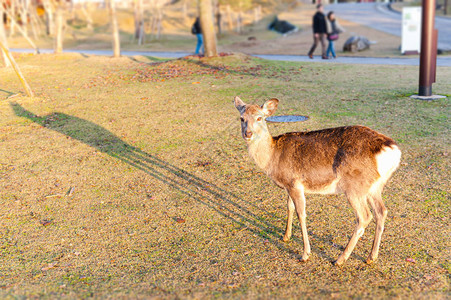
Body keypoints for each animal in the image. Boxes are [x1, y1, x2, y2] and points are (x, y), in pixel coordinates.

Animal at [235, 96, 400, 264]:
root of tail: (393, 150)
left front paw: (305, 254)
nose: (248, 133)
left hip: (355, 186)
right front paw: (286, 236)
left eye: (259, 118)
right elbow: (289, 207)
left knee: (365, 216)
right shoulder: (289, 185)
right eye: (242, 118)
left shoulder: (294, 183)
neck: (273, 157)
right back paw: (371, 256)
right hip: (374, 186)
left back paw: (340, 259)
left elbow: (301, 214)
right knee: (382, 211)